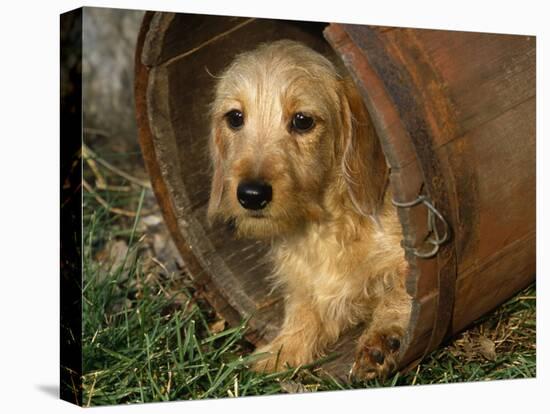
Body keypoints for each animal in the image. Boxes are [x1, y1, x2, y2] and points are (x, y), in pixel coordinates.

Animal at [209, 39, 412, 378]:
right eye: (235, 117)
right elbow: (304, 311)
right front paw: (280, 351)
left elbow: (400, 287)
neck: (325, 226)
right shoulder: (305, 283)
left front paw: (384, 336)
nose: (251, 195)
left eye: (302, 121)